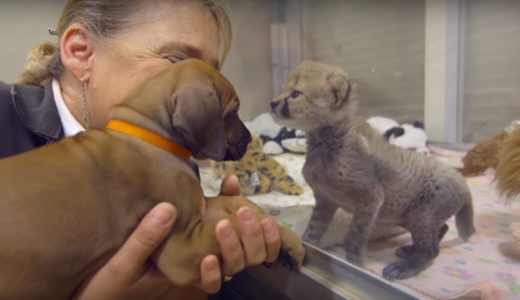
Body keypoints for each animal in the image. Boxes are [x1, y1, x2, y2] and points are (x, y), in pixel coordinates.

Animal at [0, 59, 304, 300]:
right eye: (233, 111)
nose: (250, 140)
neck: (149, 134)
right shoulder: (183, 247)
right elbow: (234, 224)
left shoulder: (196, 210)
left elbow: (238, 205)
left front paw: (286, 238)